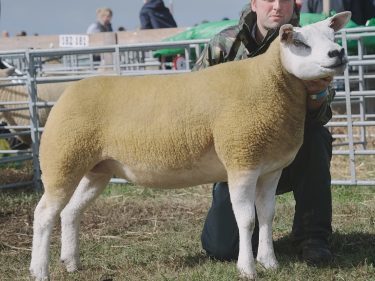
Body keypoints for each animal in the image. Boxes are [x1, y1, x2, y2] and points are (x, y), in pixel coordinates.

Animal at [29, 12, 352, 280]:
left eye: (332, 35)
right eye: (299, 42)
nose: (337, 53)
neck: (270, 81)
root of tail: (69, 91)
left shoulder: (270, 168)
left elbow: (267, 215)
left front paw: (270, 262)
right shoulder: (241, 159)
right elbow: (247, 220)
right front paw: (247, 269)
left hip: (97, 168)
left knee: (70, 212)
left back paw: (71, 262)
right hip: (62, 160)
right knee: (44, 213)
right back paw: (39, 270)